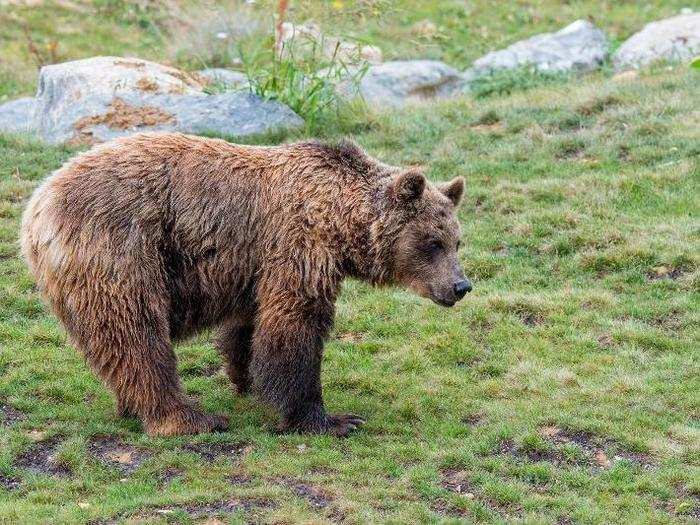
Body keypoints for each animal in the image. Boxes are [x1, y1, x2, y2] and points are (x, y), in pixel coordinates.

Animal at [20, 133, 470, 436]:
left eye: (456, 240)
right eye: (432, 242)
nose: (460, 285)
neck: (339, 221)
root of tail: (37, 206)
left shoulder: (254, 267)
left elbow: (248, 326)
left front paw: (246, 378)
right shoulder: (296, 248)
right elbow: (295, 329)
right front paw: (329, 418)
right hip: (122, 251)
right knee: (138, 335)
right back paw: (188, 417)